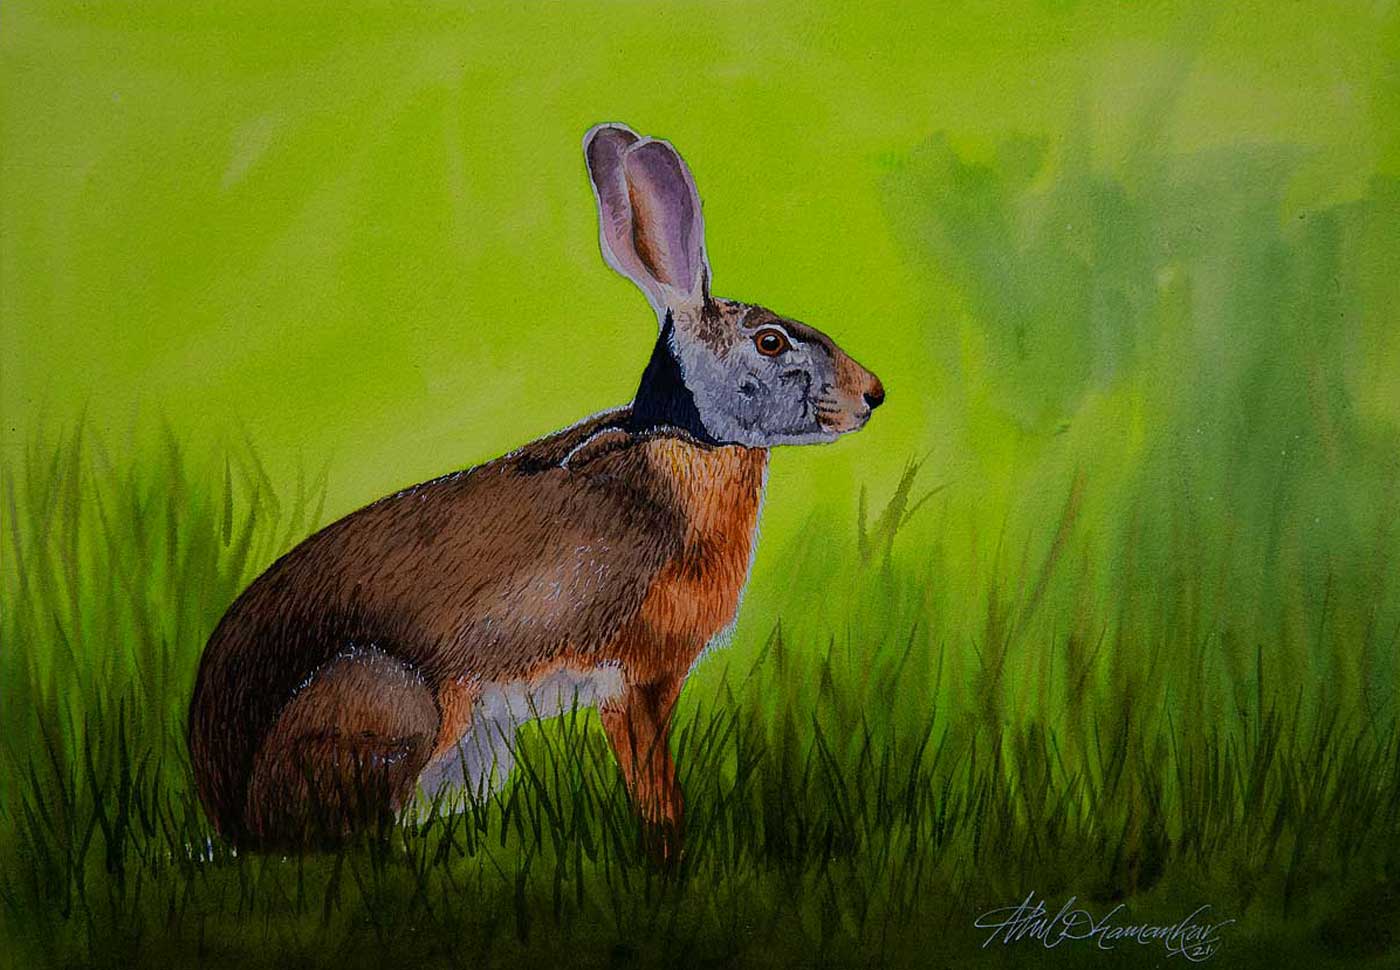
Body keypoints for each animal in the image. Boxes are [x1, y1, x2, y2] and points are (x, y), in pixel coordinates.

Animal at [187, 122, 885, 853]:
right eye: (771, 343)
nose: (873, 394)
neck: (685, 442)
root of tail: (232, 814)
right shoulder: (636, 680)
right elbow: (653, 780)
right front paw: (670, 852)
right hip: (388, 701)